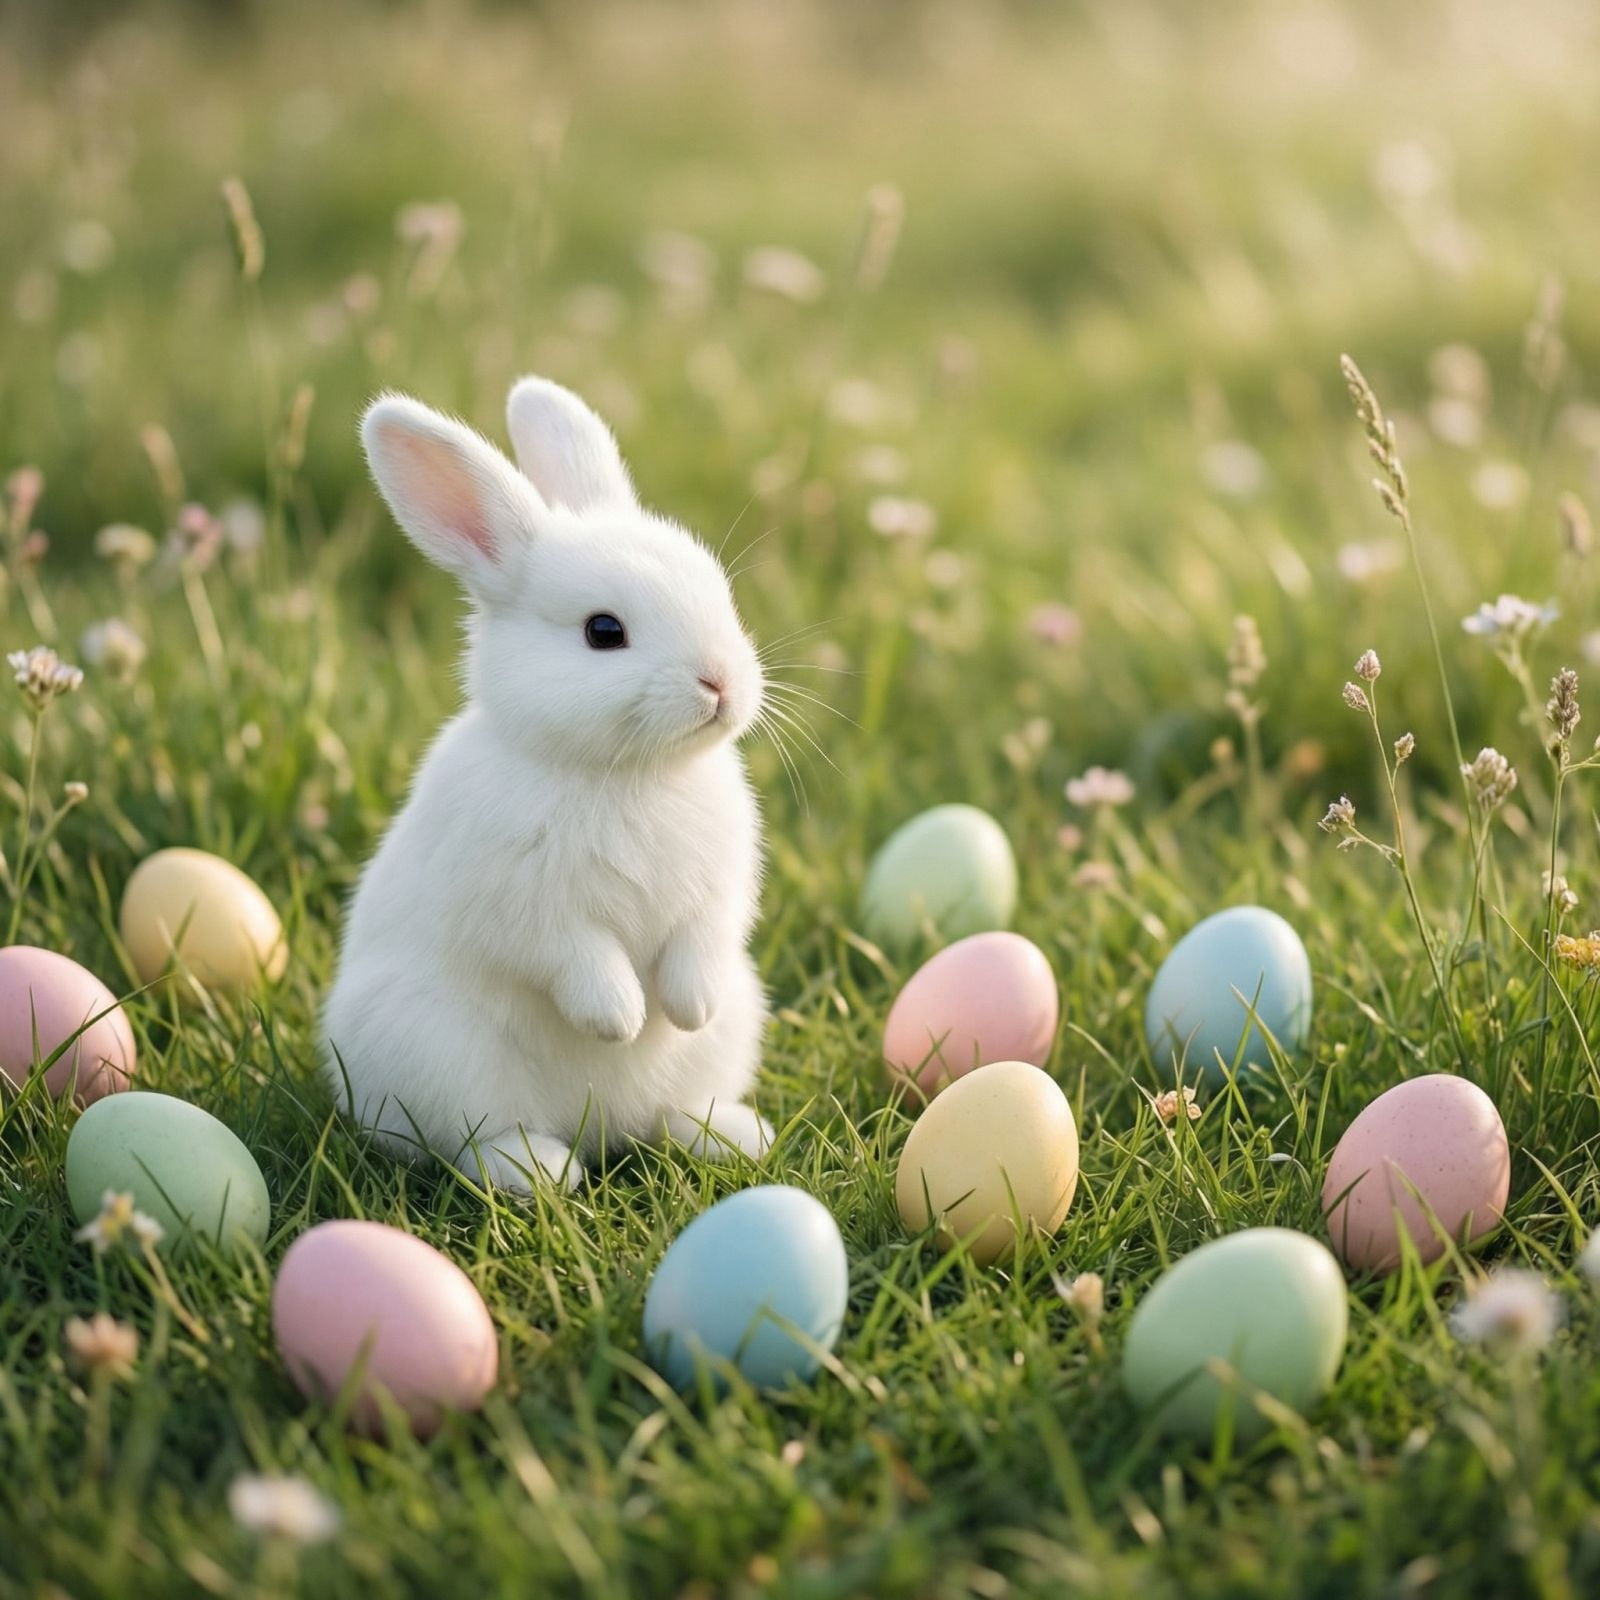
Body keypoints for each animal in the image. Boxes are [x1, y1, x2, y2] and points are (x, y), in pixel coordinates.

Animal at [322, 376, 771, 1190]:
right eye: (604, 632)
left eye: (720, 594)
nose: (720, 683)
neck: (626, 774)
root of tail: (599, 1129)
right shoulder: (526, 902)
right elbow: (575, 955)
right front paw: (620, 1019)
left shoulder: (719, 896)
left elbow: (701, 939)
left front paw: (688, 1006)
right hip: (440, 1052)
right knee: (469, 1142)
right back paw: (541, 1171)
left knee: (669, 1115)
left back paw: (733, 1136)